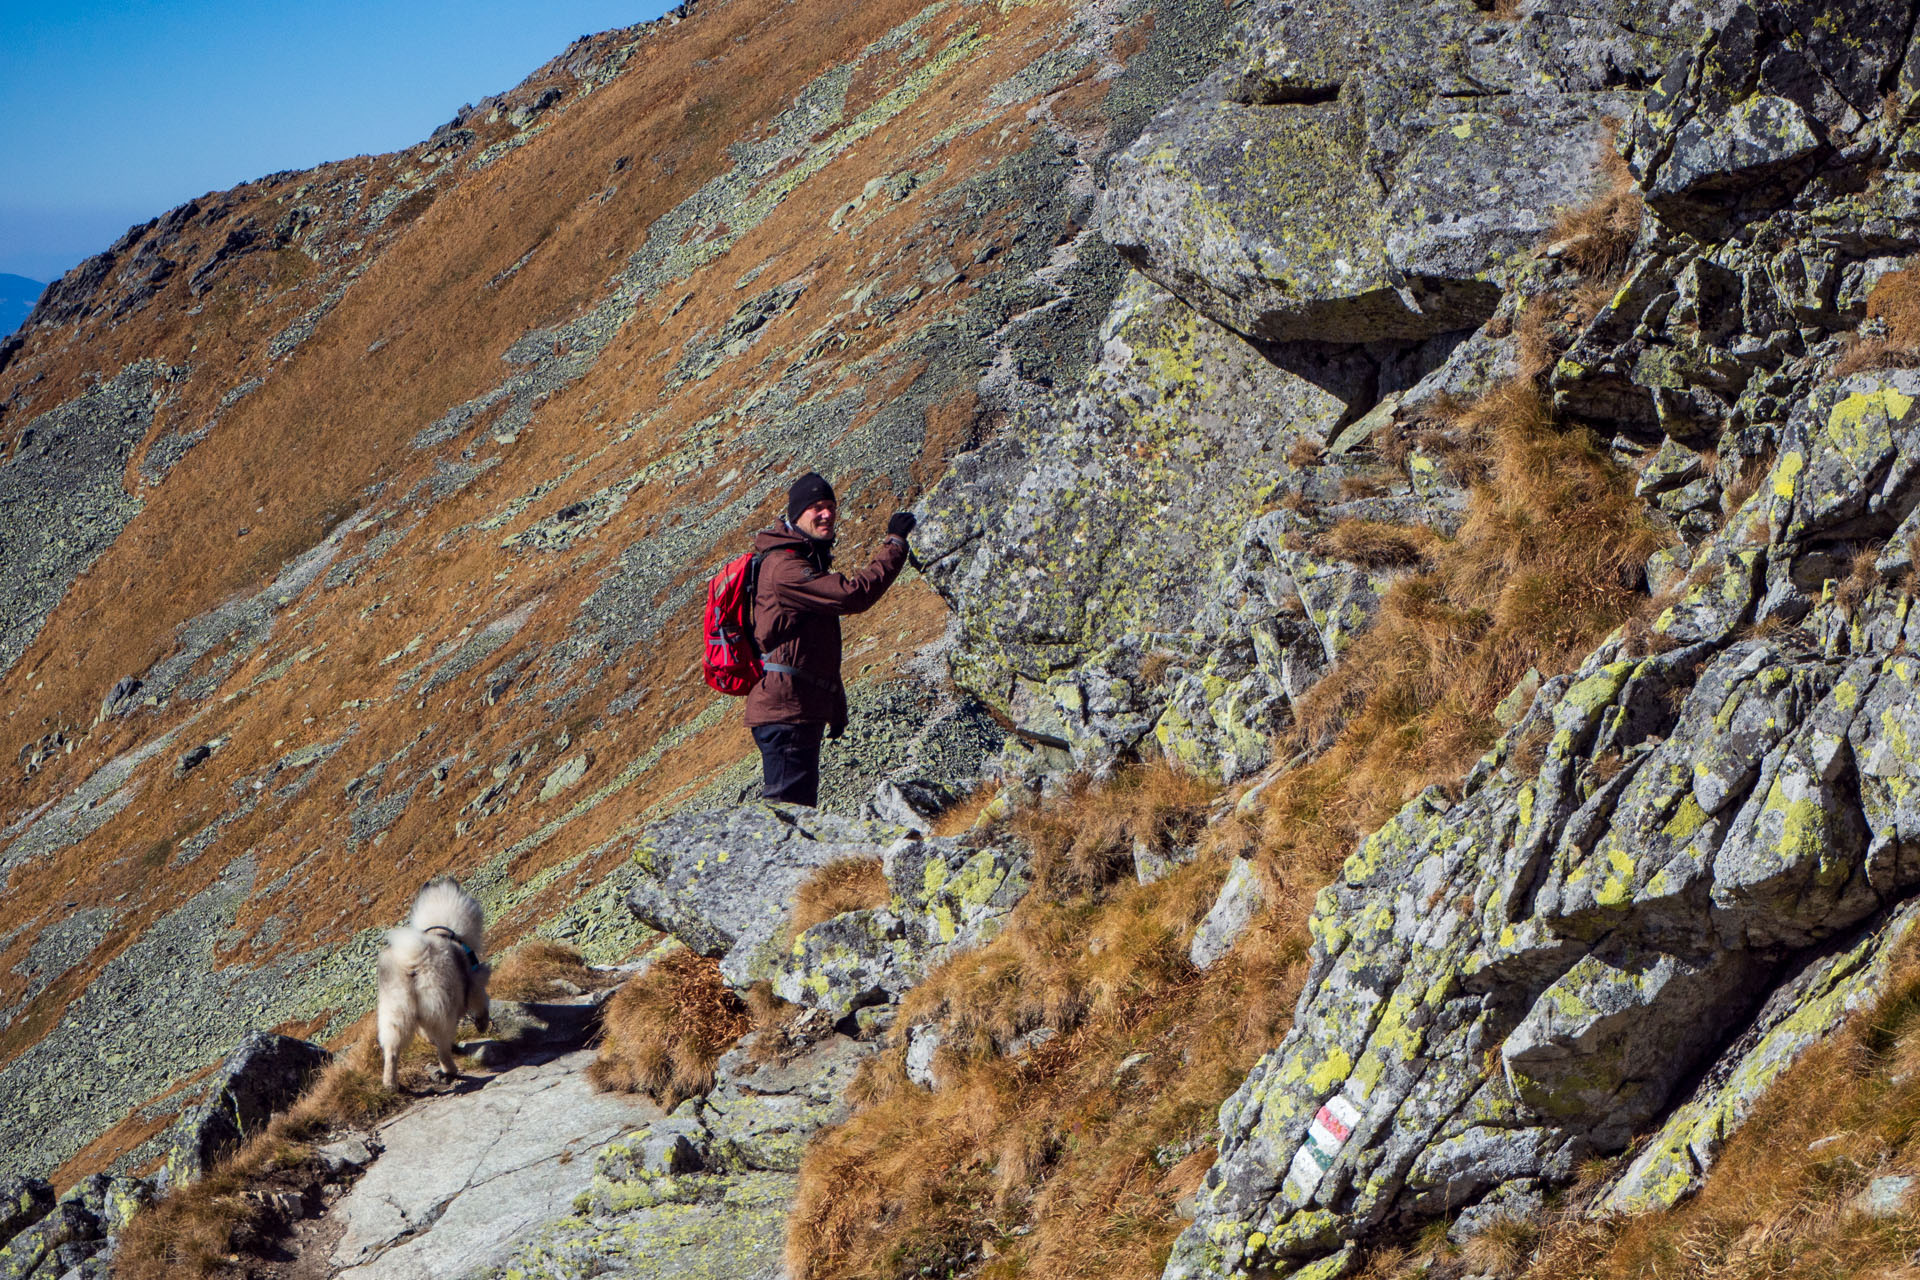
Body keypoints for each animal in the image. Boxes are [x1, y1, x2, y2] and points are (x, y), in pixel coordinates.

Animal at [374, 882, 491, 1090]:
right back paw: (450, 1068)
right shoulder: (475, 981)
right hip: (441, 1010)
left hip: (395, 1011)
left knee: (392, 1049)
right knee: (443, 1045)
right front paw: (482, 1025)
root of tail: (413, 961)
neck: (442, 929)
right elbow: (481, 1003)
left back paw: (390, 1084)